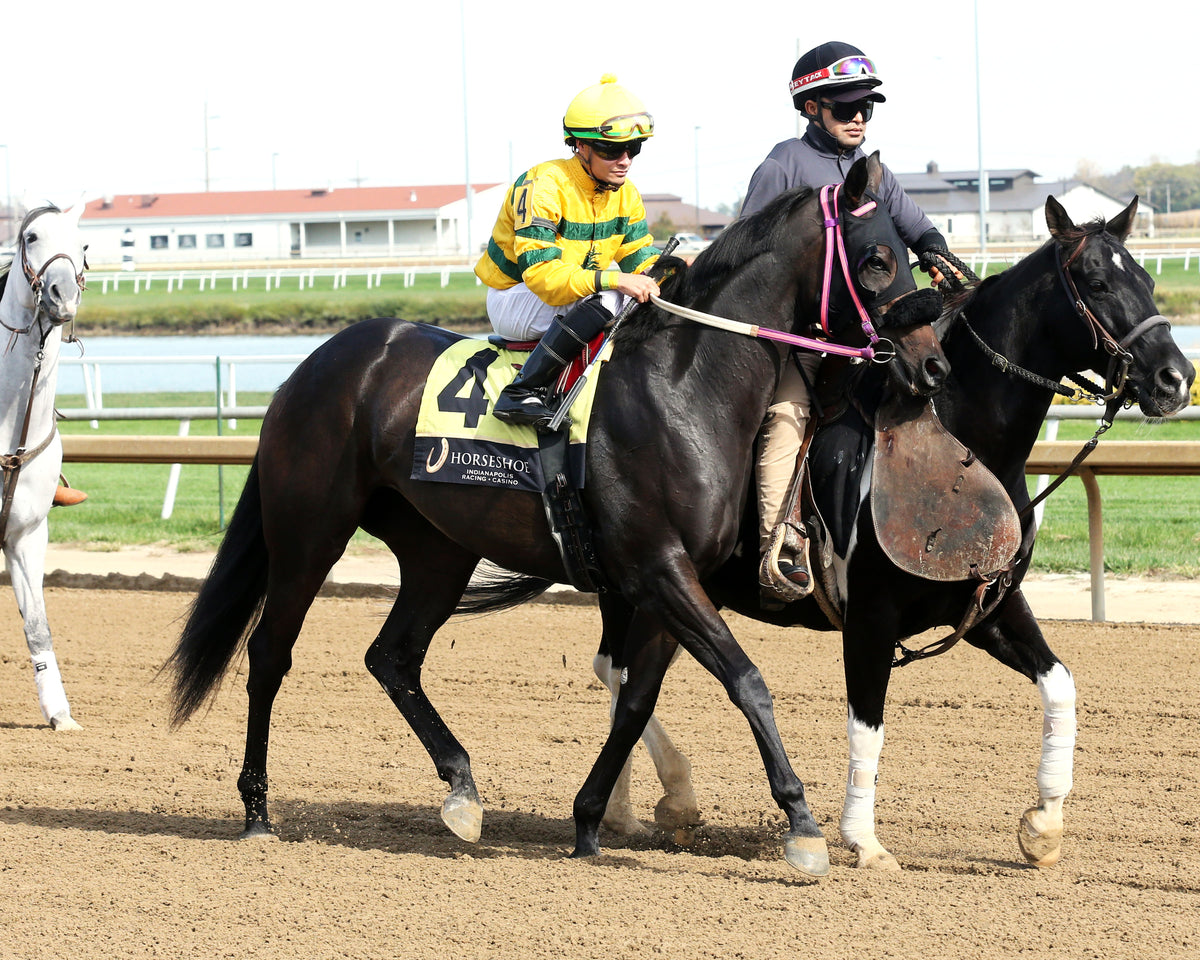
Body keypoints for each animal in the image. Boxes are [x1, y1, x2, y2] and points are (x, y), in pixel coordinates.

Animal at [165, 152, 949, 880]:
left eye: (912, 254)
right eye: (877, 260)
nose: (932, 365)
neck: (682, 389)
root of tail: (313, 365)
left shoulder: (665, 579)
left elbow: (635, 703)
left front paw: (591, 821)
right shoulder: (659, 568)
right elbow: (747, 680)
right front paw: (803, 827)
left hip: (438, 550)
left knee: (392, 656)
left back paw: (462, 791)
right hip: (309, 531)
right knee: (270, 652)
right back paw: (258, 810)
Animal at [595, 194, 1194, 871]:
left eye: (1147, 280)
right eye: (1096, 281)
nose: (1176, 379)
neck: (961, 445)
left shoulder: (987, 605)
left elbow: (1061, 687)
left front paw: (1044, 822)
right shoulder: (871, 616)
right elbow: (867, 726)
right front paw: (862, 838)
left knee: (624, 678)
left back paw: (640, 805)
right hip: (644, 583)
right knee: (617, 674)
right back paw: (644, 801)